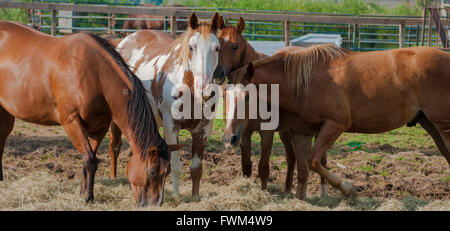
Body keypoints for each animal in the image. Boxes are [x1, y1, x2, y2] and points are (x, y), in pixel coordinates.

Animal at [0, 20, 183, 207]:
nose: (154, 205)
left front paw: (83, 193)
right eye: (152, 171)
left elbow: (89, 160)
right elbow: (89, 159)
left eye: (167, 171)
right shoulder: (71, 122)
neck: (94, 74)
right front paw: (88, 196)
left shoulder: (100, 127)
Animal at [216, 17, 328, 193]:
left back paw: (323, 192)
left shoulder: (267, 133)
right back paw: (287, 190)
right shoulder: (244, 134)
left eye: (235, 45)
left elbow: (263, 167)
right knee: (291, 157)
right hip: (285, 131)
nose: (218, 72)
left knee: (322, 160)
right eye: (218, 42)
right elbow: (246, 166)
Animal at [227, 44, 450, 199]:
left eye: (247, 96)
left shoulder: (334, 126)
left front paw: (349, 189)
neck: (303, 83)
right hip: (432, 125)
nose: (229, 137)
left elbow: (314, 161)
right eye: (225, 96)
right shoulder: (301, 132)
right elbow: (303, 168)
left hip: (443, 126)